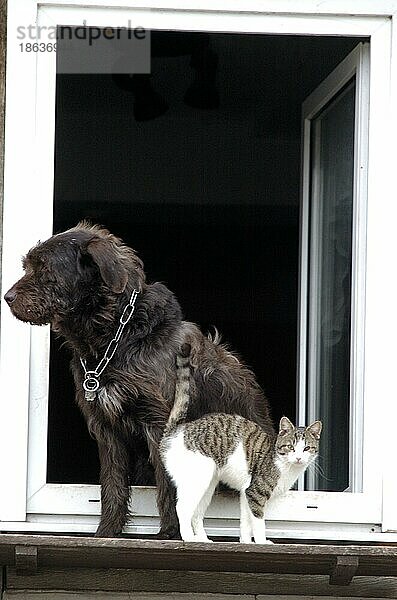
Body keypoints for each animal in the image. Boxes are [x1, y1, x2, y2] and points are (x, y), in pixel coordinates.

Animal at [4, 223, 274, 536]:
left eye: (45, 268)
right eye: (27, 265)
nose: (7, 297)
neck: (114, 339)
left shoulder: (161, 424)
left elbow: (169, 485)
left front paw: (170, 533)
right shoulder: (105, 428)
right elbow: (113, 484)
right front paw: (107, 532)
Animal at [159, 342, 320, 544]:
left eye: (306, 448)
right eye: (290, 447)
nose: (298, 458)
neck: (283, 463)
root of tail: (175, 430)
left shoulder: (245, 493)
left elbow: (245, 523)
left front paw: (245, 542)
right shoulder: (255, 493)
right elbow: (258, 522)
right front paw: (261, 542)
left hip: (208, 484)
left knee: (196, 514)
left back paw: (203, 539)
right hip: (198, 480)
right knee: (182, 509)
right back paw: (189, 538)